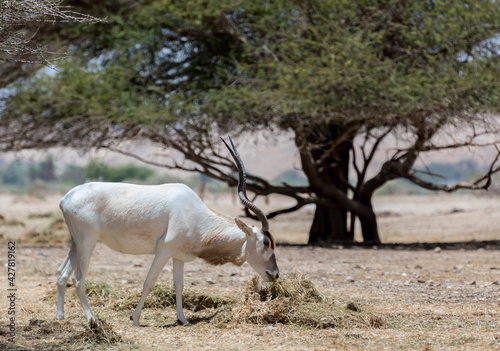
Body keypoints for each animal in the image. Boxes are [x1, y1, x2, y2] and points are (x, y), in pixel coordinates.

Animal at [57, 138, 282, 328]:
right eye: (265, 242)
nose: (275, 274)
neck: (195, 215)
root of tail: (65, 198)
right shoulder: (163, 251)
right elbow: (149, 282)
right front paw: (135, 319)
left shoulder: (178, 256)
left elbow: (179, 285)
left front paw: (183, 319)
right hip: (87, 243)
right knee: (78, 279)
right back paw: (92, 320)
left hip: (76, 243)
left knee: (62, 273)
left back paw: (60, 316)